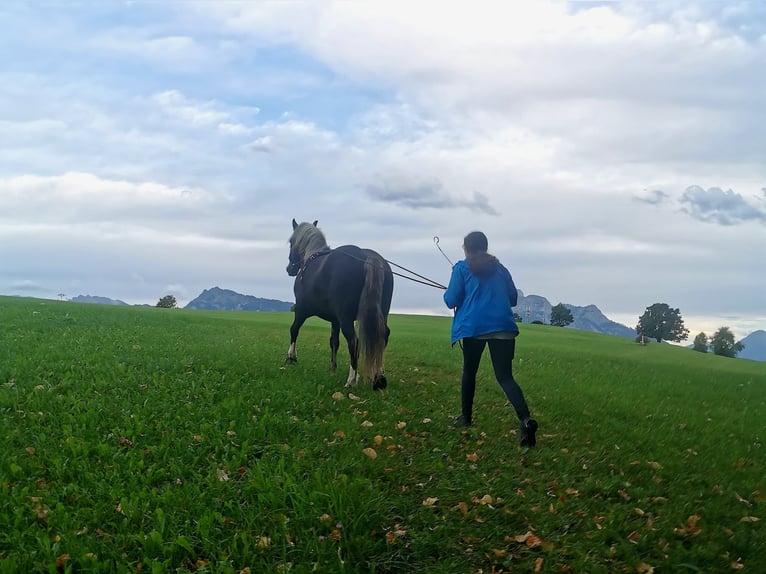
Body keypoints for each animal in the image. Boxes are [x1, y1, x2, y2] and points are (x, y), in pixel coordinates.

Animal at [285, 219, 393, 390]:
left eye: (291, 242)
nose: (289, 269)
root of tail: (368, 256)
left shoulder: (301, 310)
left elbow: (294, 330)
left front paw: (291, 357)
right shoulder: (334, 320)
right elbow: (334, 342)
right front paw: (332, 367)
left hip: (345, 318)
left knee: (354, 341)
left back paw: (351, 380)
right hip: (381, 314)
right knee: (382, 336)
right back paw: (379, 377)